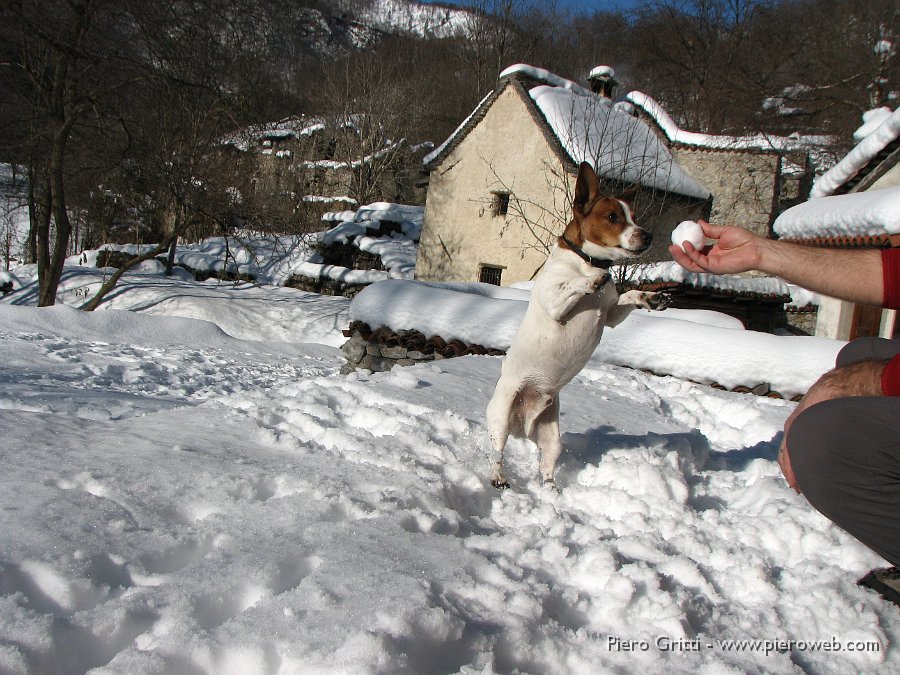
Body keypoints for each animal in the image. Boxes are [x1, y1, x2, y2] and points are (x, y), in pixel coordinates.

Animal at [486, 164, 668, 492]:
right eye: (613, 216)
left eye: (634, 215)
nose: (648, 236)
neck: (587, 260)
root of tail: (523, 425)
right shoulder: (556, 304)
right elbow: (573, 284)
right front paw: (593, 279)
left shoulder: (610, 314)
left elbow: (627, 297)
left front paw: (651, 298)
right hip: (500, 418)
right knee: (497, 452)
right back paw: (499, 476)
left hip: (551, 435)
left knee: (546, 465)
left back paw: (551, 490)